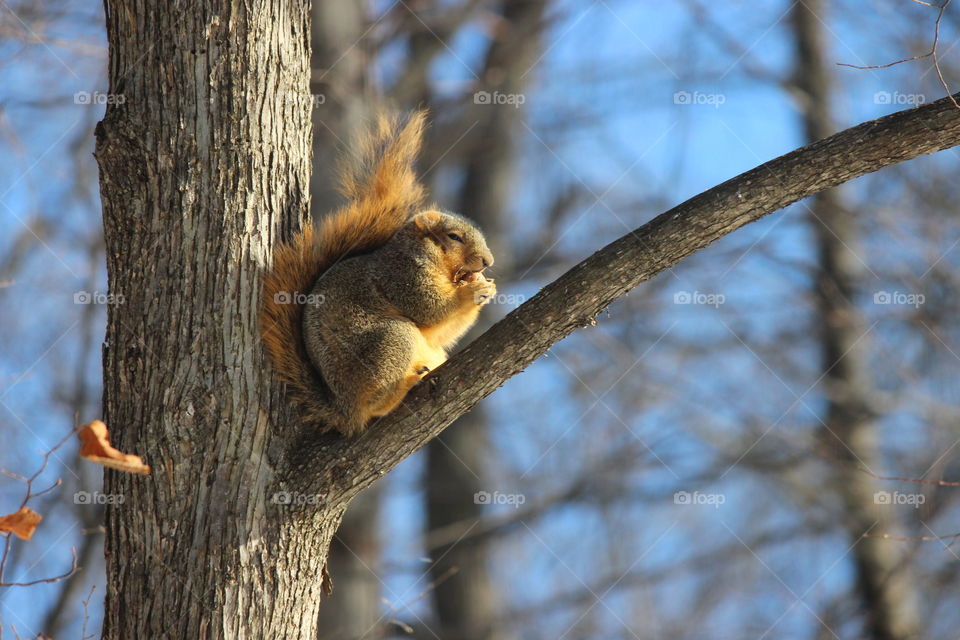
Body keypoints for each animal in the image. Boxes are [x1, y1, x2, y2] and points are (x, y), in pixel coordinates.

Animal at [260, 111, 496, 437]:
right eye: (454, 237)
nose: (487, 261)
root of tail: (343, 409)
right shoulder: (400, 275)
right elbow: (430, 309)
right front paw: (473, 291)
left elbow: (441, 331)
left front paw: (487, 287)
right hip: (390, 340)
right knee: (376, 404)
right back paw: (405, 386)